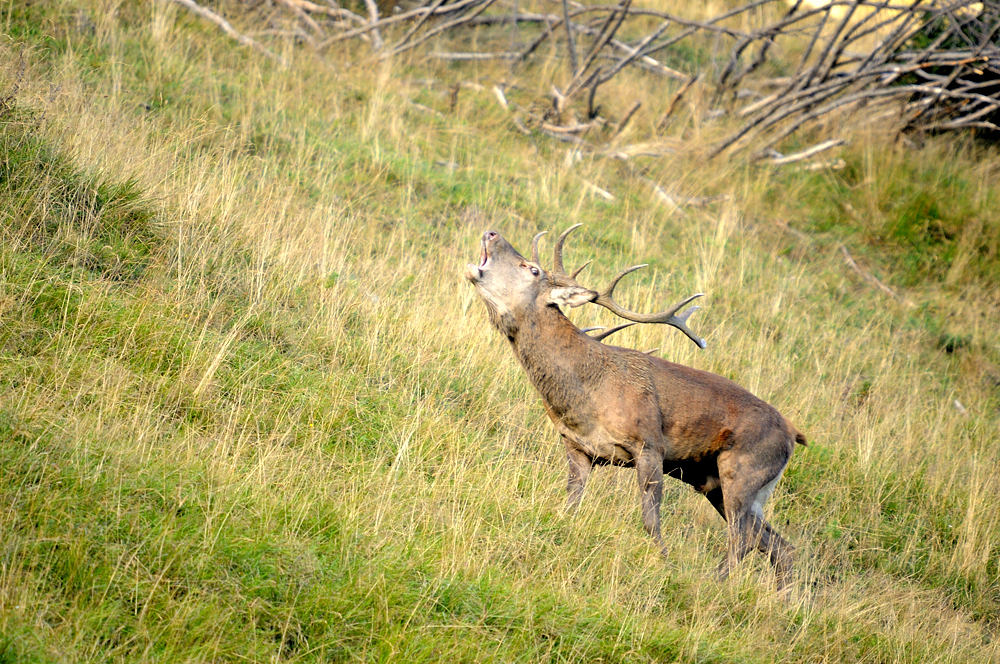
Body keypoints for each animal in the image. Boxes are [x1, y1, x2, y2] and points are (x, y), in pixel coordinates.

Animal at [464, 225, 806, 589]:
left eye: (532, 269)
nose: (492, 233)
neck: (585, 395)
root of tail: (793, 433)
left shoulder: (650, 446)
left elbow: (651, 520)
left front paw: (664, 565)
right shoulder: (577, 448)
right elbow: (570, 506)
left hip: (744, 471)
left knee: (741, 540)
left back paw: (712, 583)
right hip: (723, 485)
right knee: (777, 545)